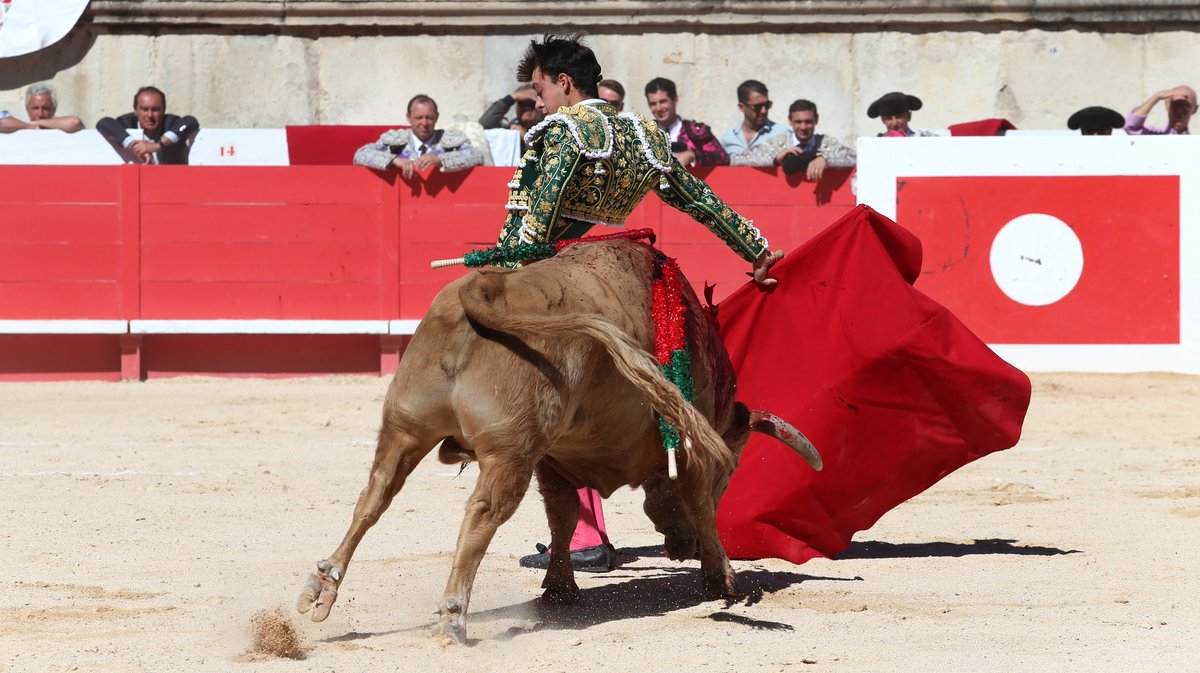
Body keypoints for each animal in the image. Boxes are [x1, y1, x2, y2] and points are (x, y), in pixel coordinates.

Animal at [295, 235, 820, 638]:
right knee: (481, 514)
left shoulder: (553, 458)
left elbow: (562, 518)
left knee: (374, 497)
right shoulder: (690, 451)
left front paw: (560, 588)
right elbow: (700, 507)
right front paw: (722, 579)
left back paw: (321, 588)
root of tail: (485, 286)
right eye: (728, 475)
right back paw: (452, 617)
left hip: (406, 428)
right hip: (507, 452)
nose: (680, 548)